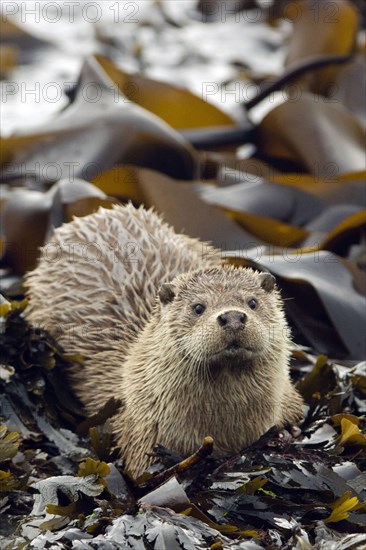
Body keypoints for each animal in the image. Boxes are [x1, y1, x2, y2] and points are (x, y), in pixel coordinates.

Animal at [25, 205, 304, 476]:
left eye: (252, 302)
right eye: (198, 307)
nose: (233, 317)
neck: (228, 431)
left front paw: (287, 432)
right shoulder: (142, 437)